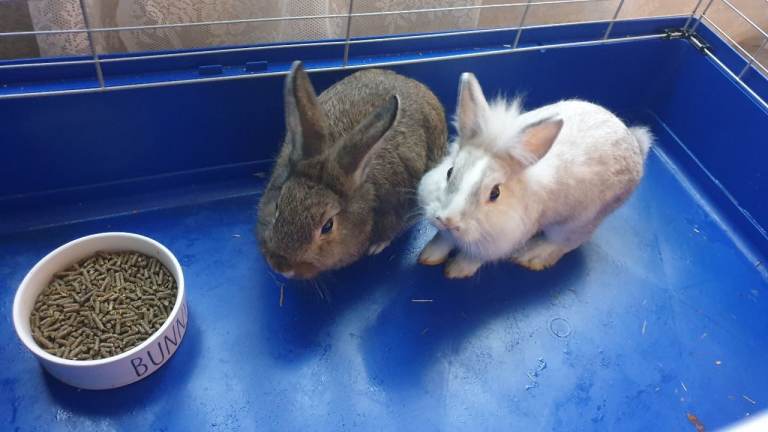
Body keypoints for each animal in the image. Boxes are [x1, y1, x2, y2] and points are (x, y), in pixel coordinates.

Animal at [417, 72, 652, 279]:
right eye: (450, 172)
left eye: (495, 193)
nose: (448, 220)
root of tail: (634, 143)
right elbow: (442, 241)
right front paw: (428, 256)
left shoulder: (501, 242)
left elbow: (475, 257)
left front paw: (456, 271)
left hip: (578, 223)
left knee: (565, 242)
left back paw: (532, 256)